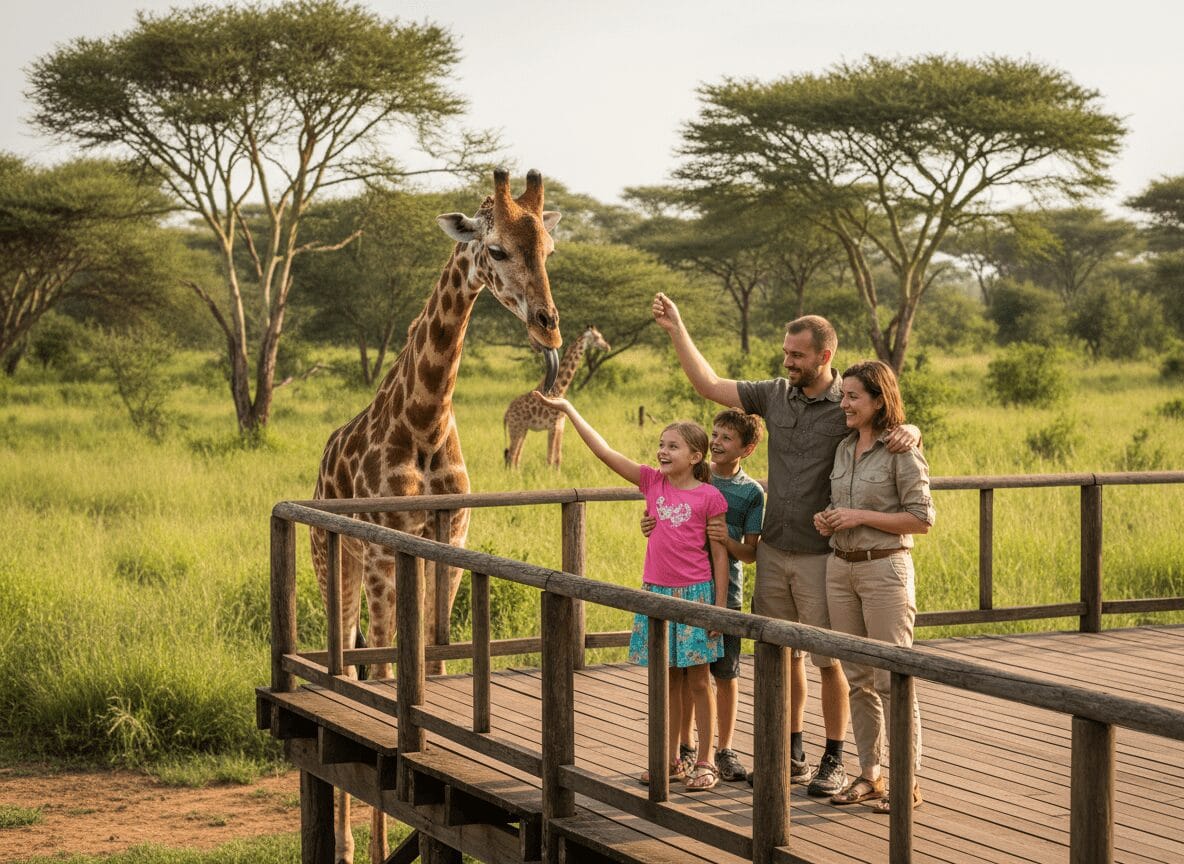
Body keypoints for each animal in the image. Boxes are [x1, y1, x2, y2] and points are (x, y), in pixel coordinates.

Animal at [310, 169, 562, 864]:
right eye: (496, 248)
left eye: (549, 249)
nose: (549, 327)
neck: (423, 420)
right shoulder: (380, 548)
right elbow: (384, 678)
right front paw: (379, 837)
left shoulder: (450, 538)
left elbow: (437, 664)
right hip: (333, 568)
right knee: (348, 663)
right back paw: (345, 844)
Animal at [503, 324, 610, 468]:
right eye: (598, 337)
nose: (607, 346)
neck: (561, 387)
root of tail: (506, 414)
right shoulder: (553, 425)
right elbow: (550, 459)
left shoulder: (561, 425)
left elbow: (558, 458)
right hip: (516, 427)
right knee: (511, 456)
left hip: (523, 429)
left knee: (515, 457)